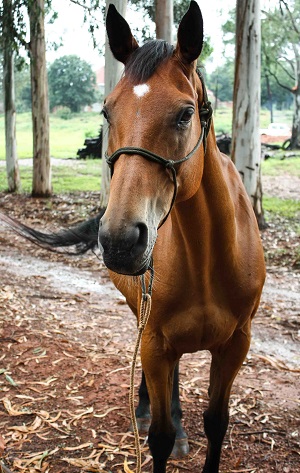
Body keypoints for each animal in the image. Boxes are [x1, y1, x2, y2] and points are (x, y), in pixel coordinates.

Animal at [0, 1, 264, 470]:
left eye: (185, 113)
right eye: (107, 112)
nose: (121, 241)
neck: (210, 260)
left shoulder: (236, 345)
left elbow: (217, 423)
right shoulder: (155, 342)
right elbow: (158, 437)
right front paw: (161, 426)